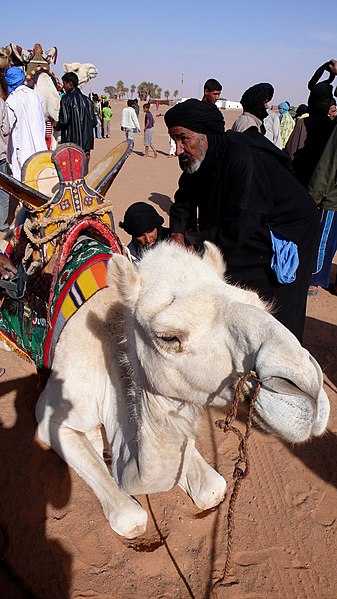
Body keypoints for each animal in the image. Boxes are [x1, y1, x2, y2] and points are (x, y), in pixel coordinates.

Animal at [33, 241, 328, 540]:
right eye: (168, 337)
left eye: (259, 303)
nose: (309, 390)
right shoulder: (53, 416)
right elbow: (131, 518)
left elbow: (213, 488)